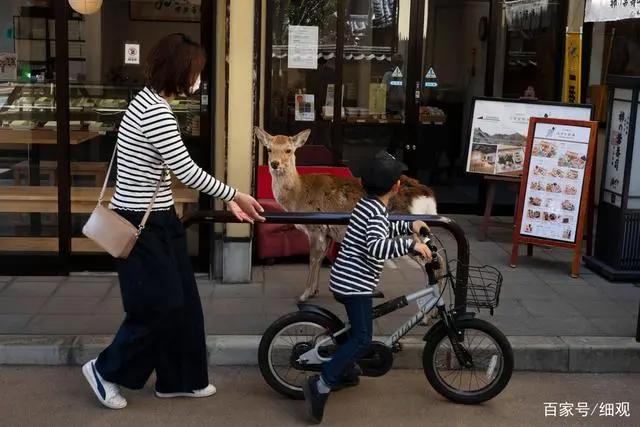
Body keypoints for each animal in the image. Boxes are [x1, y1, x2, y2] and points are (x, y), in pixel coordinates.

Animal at [252, 129, 438, 302]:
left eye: (289, 150)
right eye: (269, 149)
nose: (274, 164)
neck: (298, 195)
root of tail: (427, 195)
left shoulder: (316, 228)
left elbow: (312, 259)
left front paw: (304, 295)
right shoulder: (327, 233)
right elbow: (320, 259)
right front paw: (314, 291)